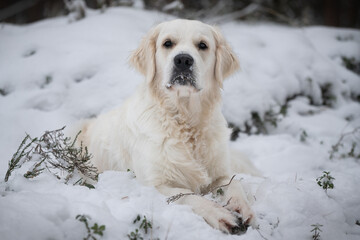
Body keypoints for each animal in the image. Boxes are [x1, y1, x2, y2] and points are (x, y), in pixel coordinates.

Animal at [78, 19, 258, 234]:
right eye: (168, 43)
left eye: (203, 45)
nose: (183, 60)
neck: (185, 119)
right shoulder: (155, 184)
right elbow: (188, 194)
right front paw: (220, 214)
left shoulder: (221, 173)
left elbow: (235, 183)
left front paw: (242, 208)